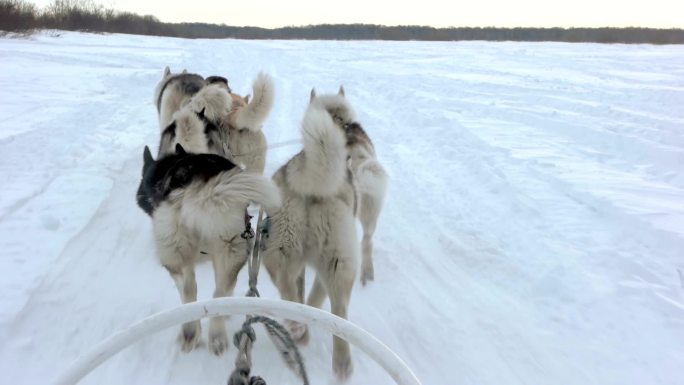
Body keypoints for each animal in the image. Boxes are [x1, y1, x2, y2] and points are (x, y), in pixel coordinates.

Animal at [136, 144, 280, 354]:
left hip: (192, 254)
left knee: (194, 290)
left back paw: (199, 331)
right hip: (228, 249)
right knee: (211, 293)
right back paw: (207, 334)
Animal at [262, 103, 358, 378]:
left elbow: (309, 296)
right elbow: (315, 297)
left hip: (282, 251)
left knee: (288, 286)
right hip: (336, 262)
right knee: (338, 308)